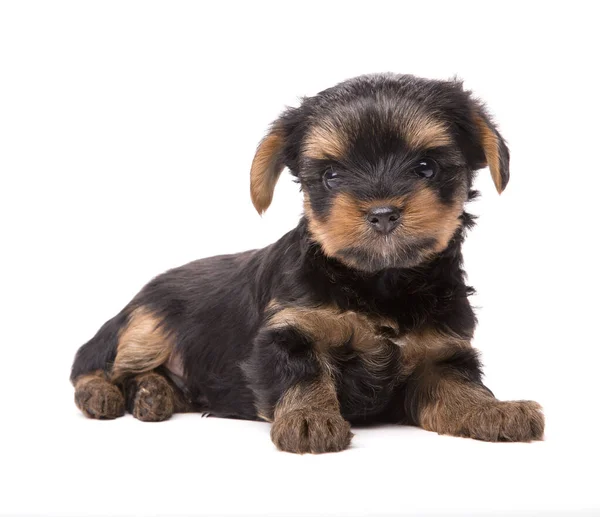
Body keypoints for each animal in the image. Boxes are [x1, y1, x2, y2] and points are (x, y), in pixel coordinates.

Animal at [70, 72, 544, 452]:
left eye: (426, 168)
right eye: (331, 176)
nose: (383, 213)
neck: (379, 281)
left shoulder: (439, 351)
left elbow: (458, 387)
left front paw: (495, 410)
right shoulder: (288, 330)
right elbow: (302, 372)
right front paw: (308, 418)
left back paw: (153, 393)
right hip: (146, 322)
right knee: (96, 364)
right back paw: (108, 394)